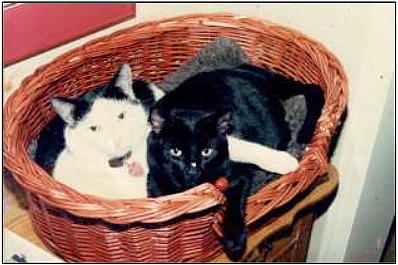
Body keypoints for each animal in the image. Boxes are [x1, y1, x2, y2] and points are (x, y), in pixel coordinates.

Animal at [39, 64, 298, 199]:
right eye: (94, 128)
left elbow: (235, 146)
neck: (128, 162)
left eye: (121, 116)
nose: (117, 139)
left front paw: (283, 161)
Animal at [146, 64, 324, 260]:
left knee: (311, 91)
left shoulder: (239, 176)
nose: (192, 170)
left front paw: (235, 240)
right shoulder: (156, 177)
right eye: (175, 151)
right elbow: (160, 191)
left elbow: (235, 203)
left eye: (207, 151)